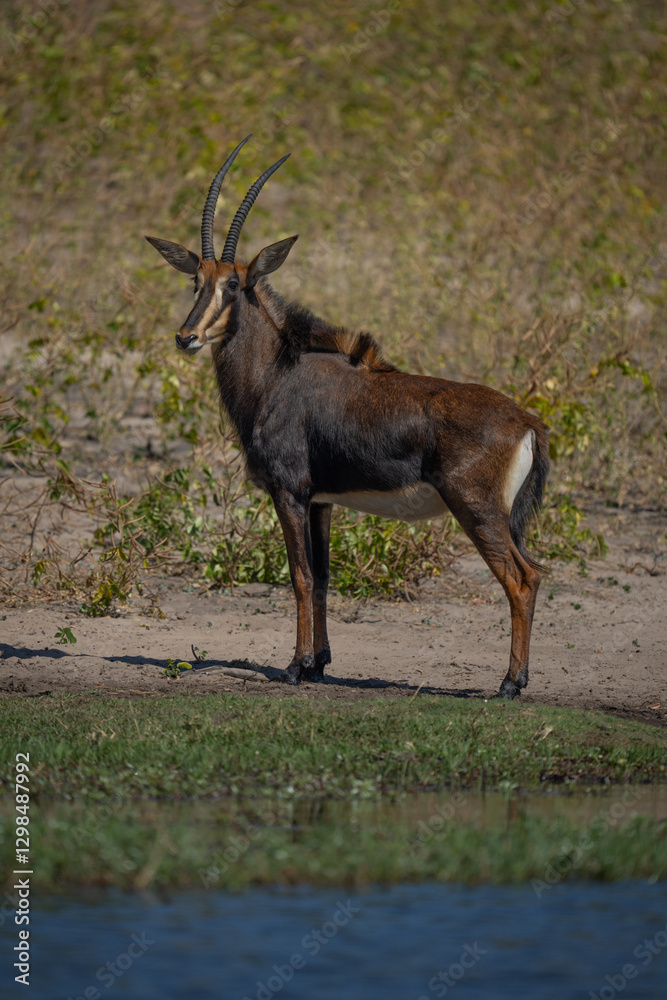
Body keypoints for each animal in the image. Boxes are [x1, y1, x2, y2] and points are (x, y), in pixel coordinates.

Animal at [146, 136, 549, 699]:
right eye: (195, 282)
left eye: (234, 285)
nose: (187, 337)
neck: (278, 374)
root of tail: (526, 421)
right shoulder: (321, 502)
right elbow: (322, 577)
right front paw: (319, 663)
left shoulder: (289, 492)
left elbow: (298, 577)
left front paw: (294, 667)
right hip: (502, 517)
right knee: (531, 571)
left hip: (477, 510)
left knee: (521, 578)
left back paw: (510, 683)